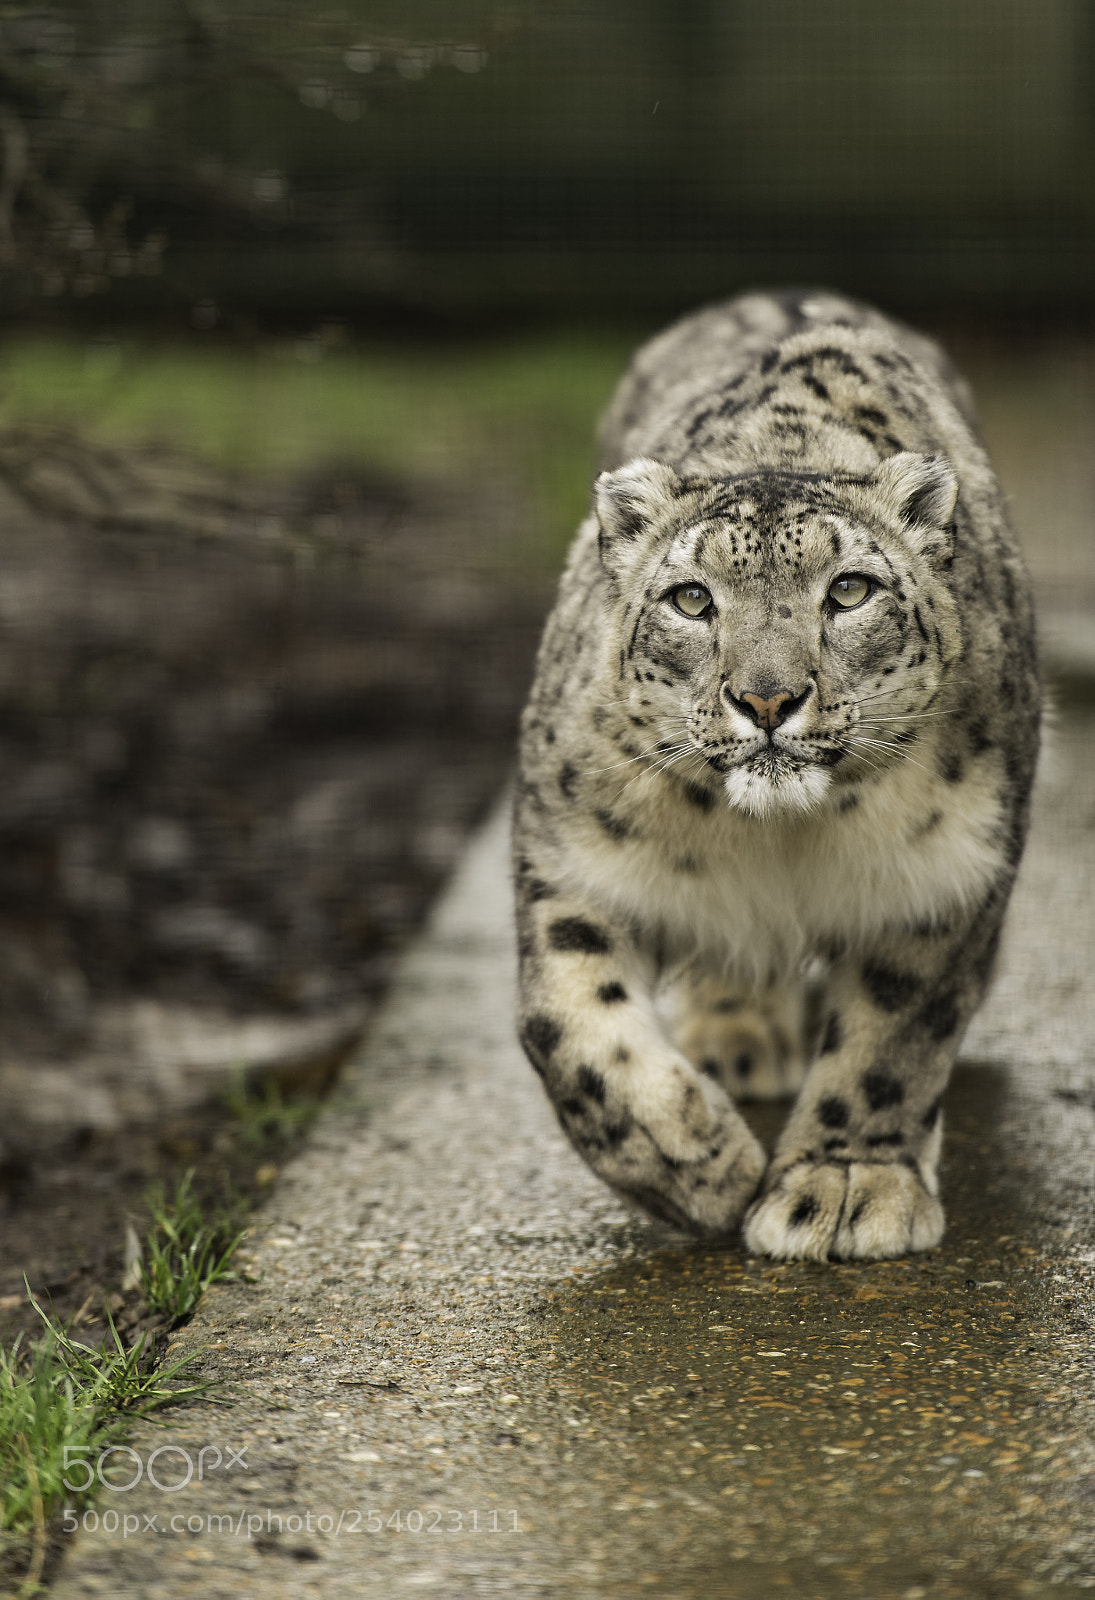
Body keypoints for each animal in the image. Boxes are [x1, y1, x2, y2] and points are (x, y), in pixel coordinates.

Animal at [513, 288, 1040, 1261]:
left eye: (849, 590)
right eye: (690, 598)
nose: (766, 698)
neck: (784, 838)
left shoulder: (946, 871)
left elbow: (895, 1036)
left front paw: (843, 1187)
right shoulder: (570, 856)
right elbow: (565, 1023)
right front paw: (699, 1166)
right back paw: (732, 1042)